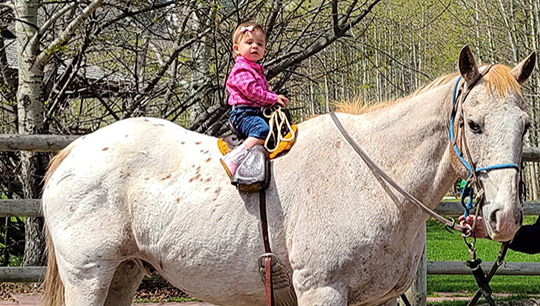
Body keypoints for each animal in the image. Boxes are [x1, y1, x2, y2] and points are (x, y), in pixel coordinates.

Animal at [43, 46, 536, 306]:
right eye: (474, 124)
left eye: (526, 124)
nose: (506, 218)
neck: (371, 178)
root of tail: (72, 151)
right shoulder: (323, 290)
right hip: (88, 277)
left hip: (124, 273)